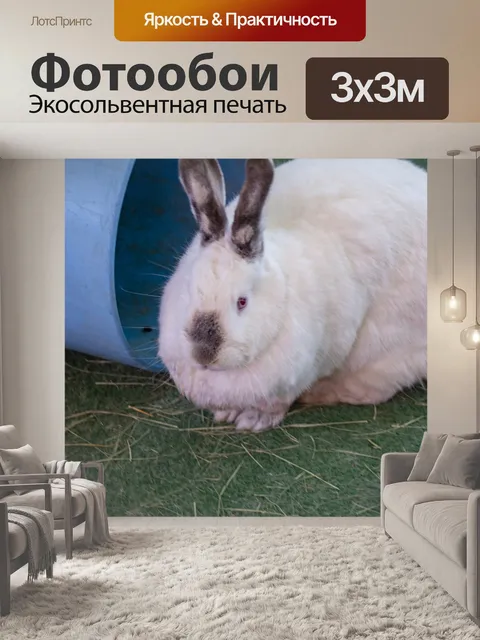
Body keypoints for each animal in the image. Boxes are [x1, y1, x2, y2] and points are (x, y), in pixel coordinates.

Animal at [158, 158, 427, 432]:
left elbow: (276, 404)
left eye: (242, 302)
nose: (203, 354)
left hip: (389, 347)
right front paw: (226, 413)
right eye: (190, 291)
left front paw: (252, 421)